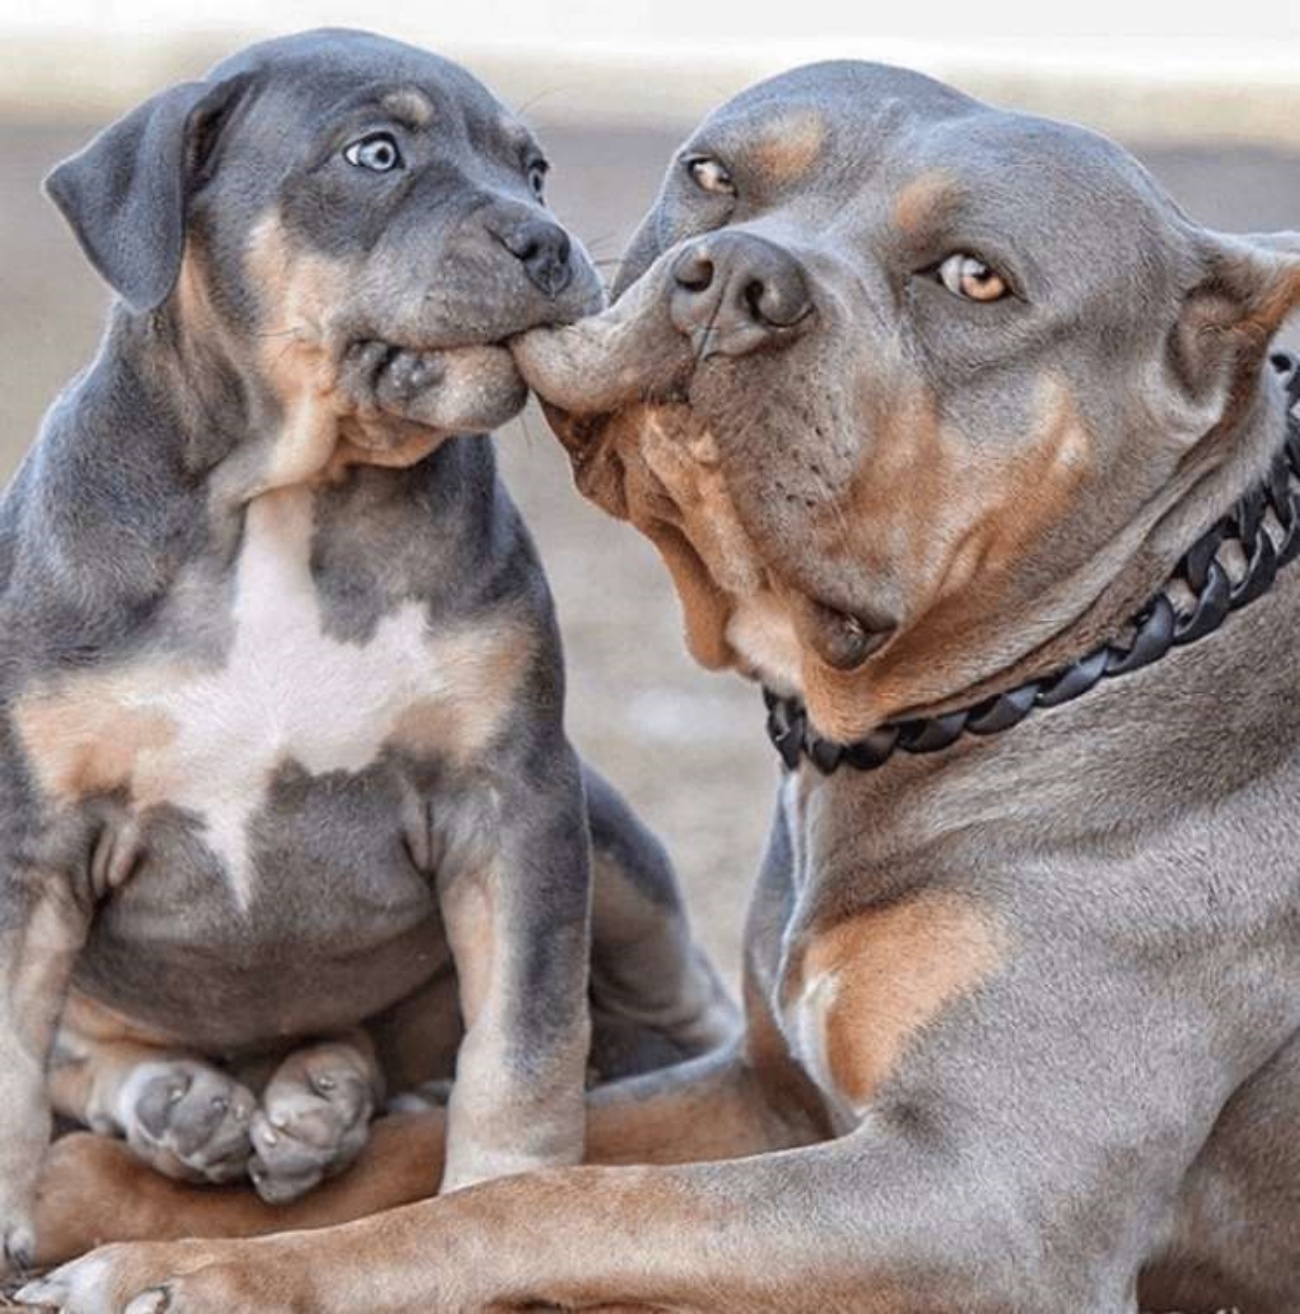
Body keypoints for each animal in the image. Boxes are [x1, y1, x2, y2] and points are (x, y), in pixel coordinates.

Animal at [17, 59, 1298, 1314]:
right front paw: (108, 1185)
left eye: (974, 278)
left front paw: (216, 1270)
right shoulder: (764, 1091)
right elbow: (446, 1142)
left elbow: (542, 1199)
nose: (736, 278)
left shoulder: (988, 1198)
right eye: (714, 175)